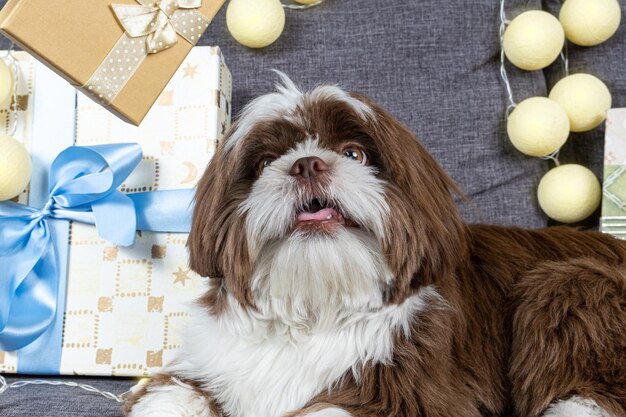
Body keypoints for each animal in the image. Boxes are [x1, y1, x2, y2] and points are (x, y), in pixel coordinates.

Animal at [123, 75, 624, 416]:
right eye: (265, 162)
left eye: (354, 153)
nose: (306, 163)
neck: (317, 306)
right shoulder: (211, 367)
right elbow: (171, 393)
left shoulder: (413, 390)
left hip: (569, 284)